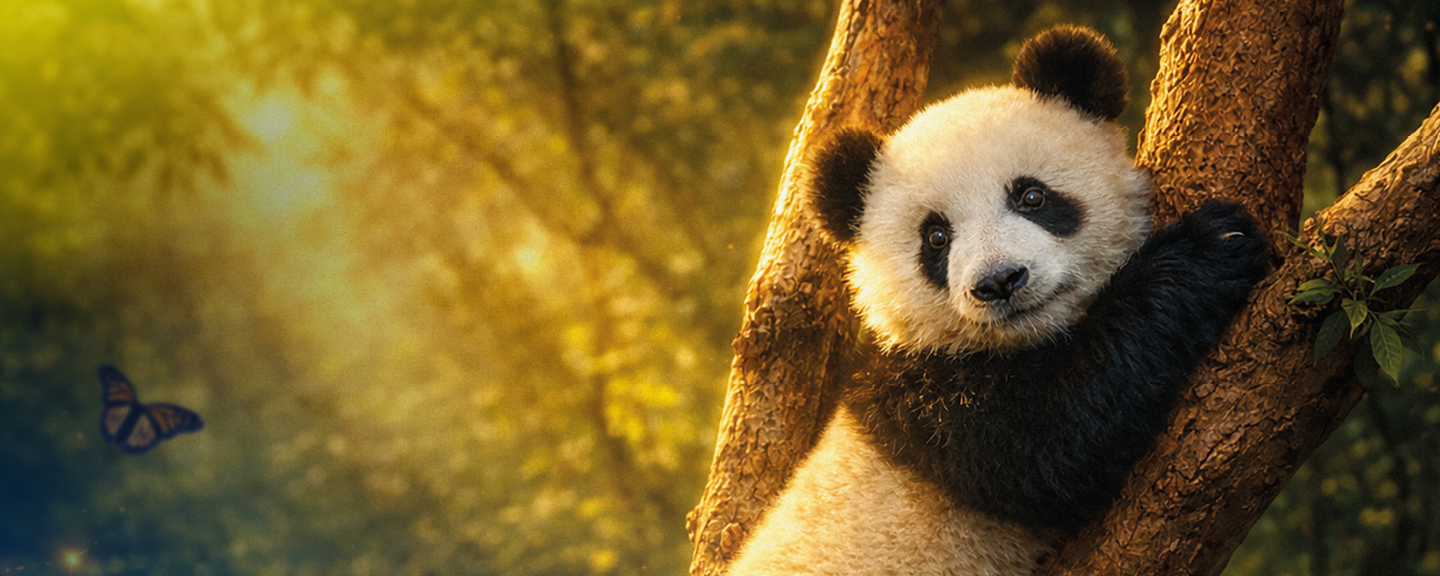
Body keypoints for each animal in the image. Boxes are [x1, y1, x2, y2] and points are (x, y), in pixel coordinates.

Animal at [726, 25, 1270, 575]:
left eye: (1031, 196)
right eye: (936, 238)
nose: (1000, 281)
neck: (1023, 342)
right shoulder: (924, 405)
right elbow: (1055, 440)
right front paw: (1209, 249)